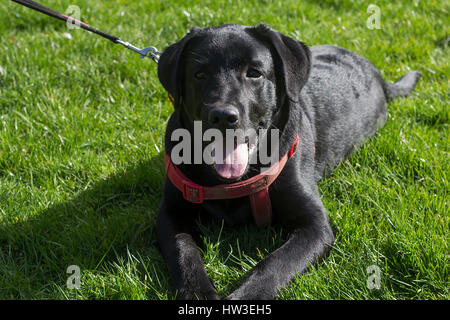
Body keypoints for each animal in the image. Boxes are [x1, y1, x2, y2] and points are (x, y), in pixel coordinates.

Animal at [156, 23, 422, 300]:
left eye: (254, 73)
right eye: (199, 74)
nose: (223, 116)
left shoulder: (316, 226)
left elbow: (274, 264)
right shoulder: (170, 213)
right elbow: (184, 252)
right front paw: (198, 294)